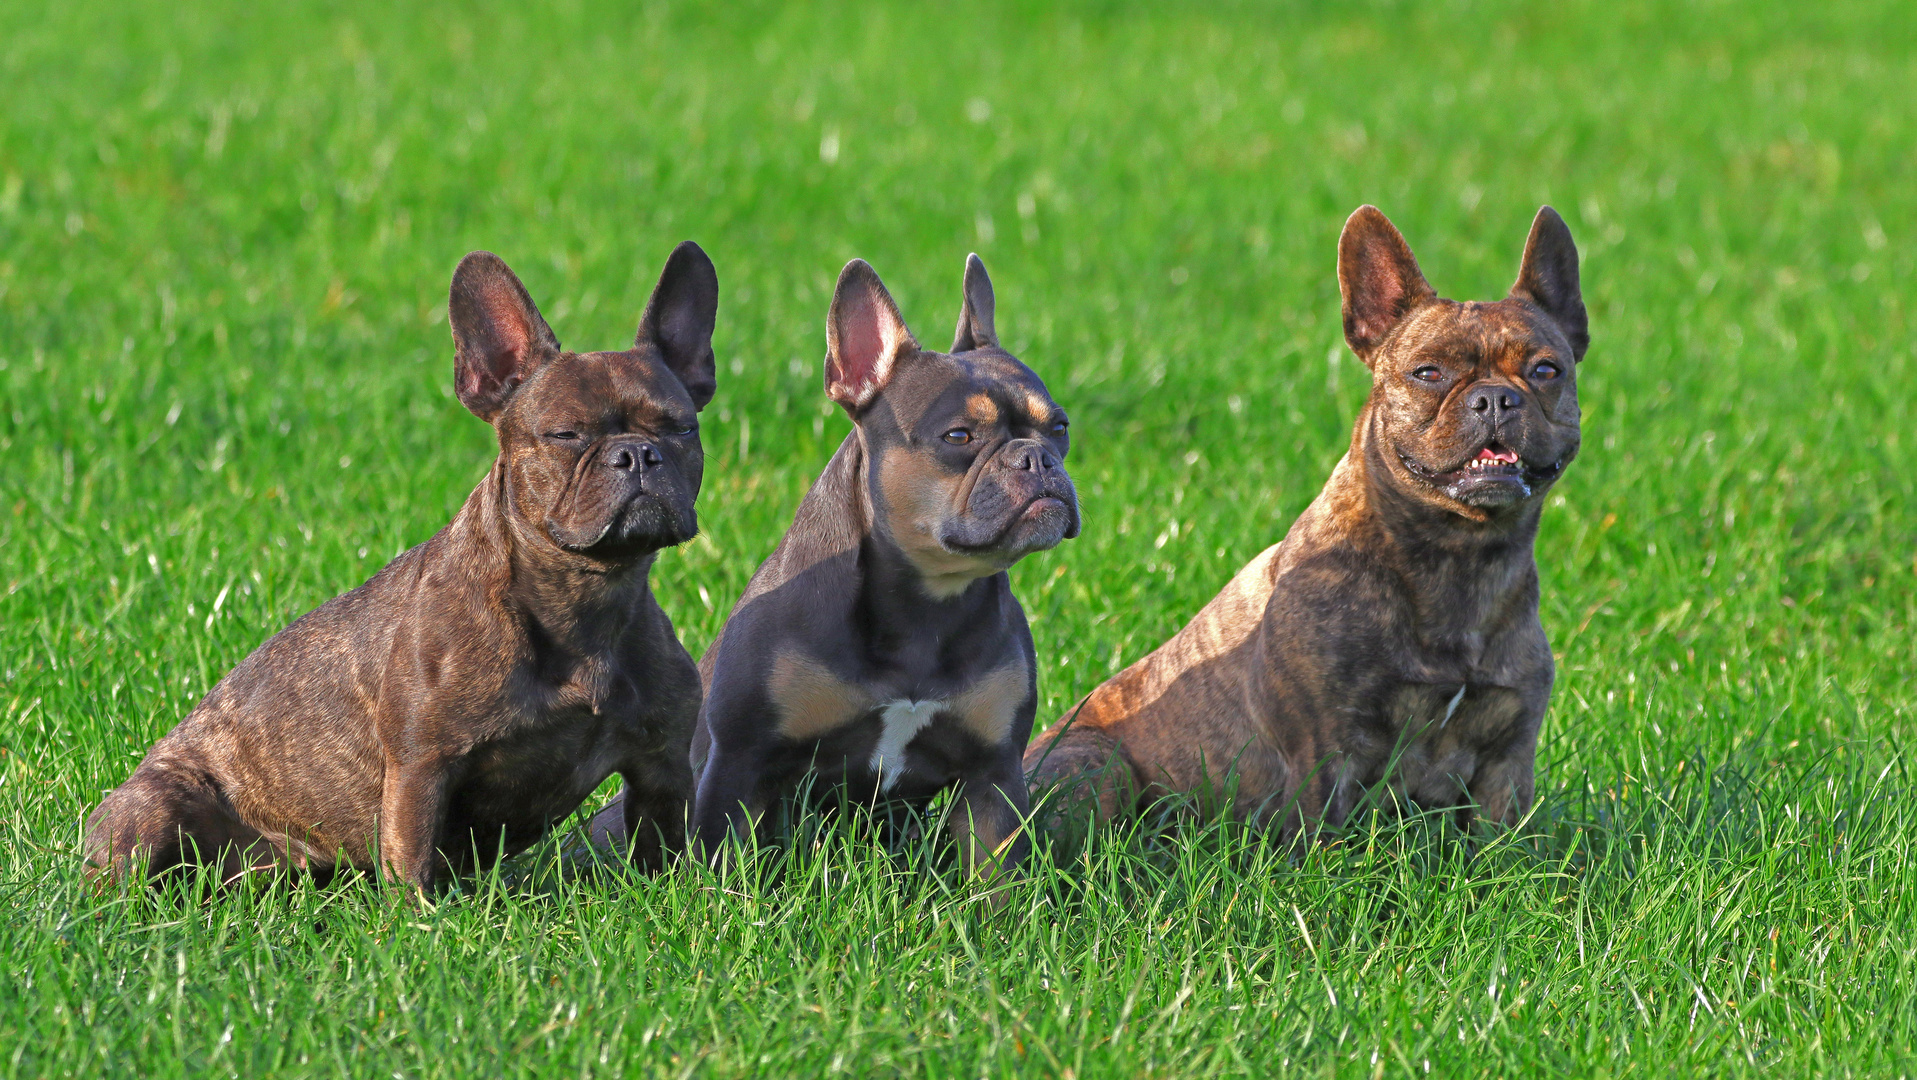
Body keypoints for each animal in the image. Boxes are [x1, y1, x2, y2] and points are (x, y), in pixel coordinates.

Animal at [590, 255, 1073, 886]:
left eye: (1060, 428)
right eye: (958, 436)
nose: (1036, 458)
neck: (927, 601)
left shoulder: (993, 776)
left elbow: (998, 880)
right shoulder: (739, 761)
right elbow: (722, 861)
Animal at [1035, 207, 1587, 840]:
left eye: (1546, 370)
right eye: (1427, 372)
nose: (1496, 398)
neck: (1459, 553)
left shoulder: (1507, 762)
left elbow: (1504, 845)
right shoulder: (1326, 751)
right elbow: (1323, 839)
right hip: (1095, 765)